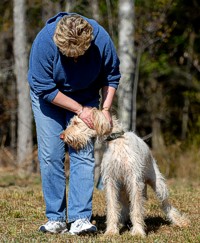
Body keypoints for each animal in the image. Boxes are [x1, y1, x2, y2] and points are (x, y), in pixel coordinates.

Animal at [60, 108, 189, 237]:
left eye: (76, 123)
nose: (62, 136)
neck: (116, 141)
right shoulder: (111, 181)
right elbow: (112, 208)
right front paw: (111, 231)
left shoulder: (134, 181)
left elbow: (136, 208)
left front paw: (138, 232)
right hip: (122, 188)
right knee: (126, 207)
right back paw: (121, 221)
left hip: (158, 185)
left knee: (166, 205)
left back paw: (179, 221)